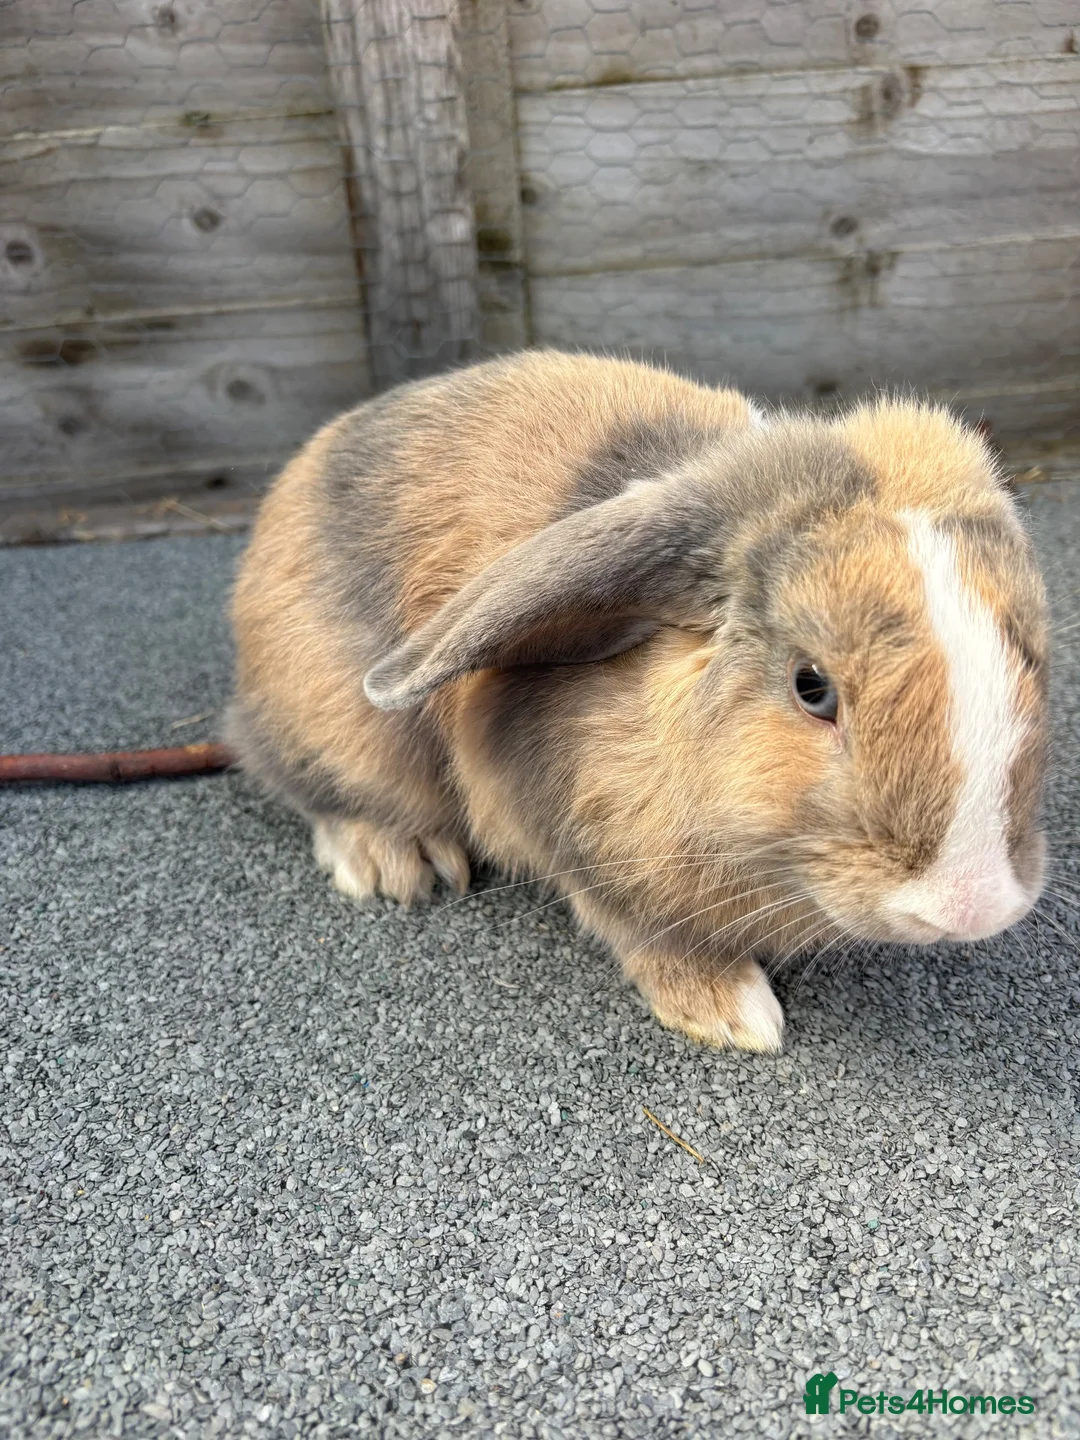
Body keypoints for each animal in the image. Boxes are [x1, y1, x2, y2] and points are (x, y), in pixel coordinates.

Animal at [228, 350, 1048, 1053]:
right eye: (811, 687)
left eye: (1031, 651)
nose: (970, 906)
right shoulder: (577, 837)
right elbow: (646, 934)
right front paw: (731, 1012)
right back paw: (397, 863)